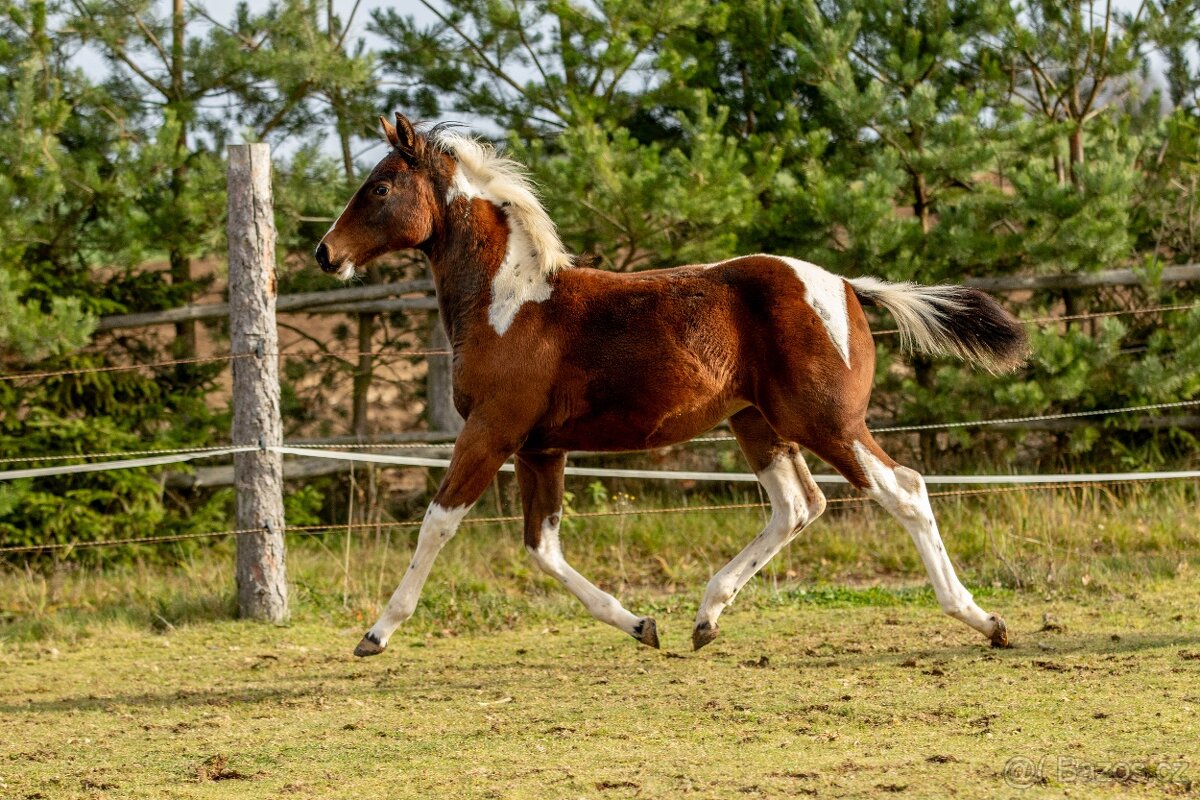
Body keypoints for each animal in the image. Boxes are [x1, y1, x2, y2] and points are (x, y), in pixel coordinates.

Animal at [315, 113, 1028, 658]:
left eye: (380, 187)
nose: (326, 253)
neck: (509, 302)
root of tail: (851, 286)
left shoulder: (491, 431)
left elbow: (437, 525)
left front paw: (375, 634)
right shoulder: (541, 448)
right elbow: (543, 548)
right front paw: (641, 624)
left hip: (827, 421)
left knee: (903, 490)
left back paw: (983, 620)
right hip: (757, 423)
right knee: (797, 506)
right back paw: (706, 617)